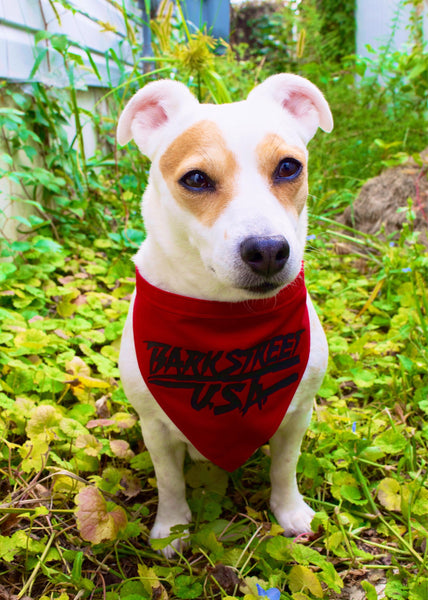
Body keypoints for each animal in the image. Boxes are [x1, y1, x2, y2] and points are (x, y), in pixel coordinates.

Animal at [118, 72, 334, 556]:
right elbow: (169, 482)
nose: (268, 250)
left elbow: (284, 467)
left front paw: (289, 511)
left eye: (288, 167)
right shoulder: (156, 429)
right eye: (196, 178)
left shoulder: (296, 415)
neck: (225, 317)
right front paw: (171, 528)